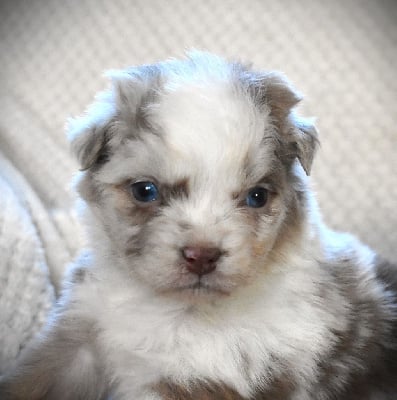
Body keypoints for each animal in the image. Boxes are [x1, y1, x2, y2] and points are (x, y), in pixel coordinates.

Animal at [0, 51, 396, 398]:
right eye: (145, 190)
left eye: (257, 197)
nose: (202, 255)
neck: (179, 310)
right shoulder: (78, 338)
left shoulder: (205, 378)